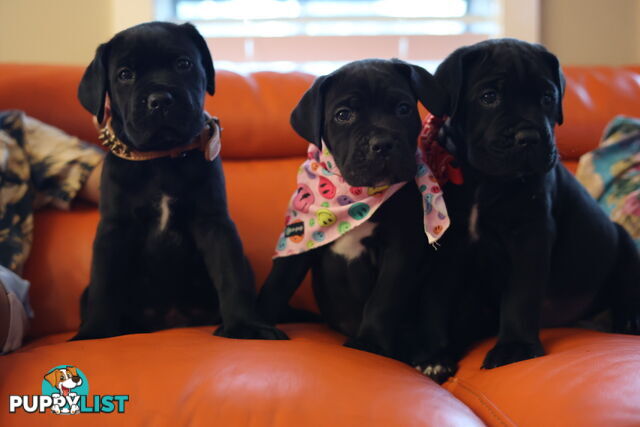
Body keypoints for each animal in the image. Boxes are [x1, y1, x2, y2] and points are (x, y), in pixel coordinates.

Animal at [70, 21, 284, 342]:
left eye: (183, 64)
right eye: (125, 74)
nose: (160, 101)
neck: (161, 158)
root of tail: (173, 321)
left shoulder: (214, 223)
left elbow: (231, 276)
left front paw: (243, 326)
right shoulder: (113, 228)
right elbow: (104, 285)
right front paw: (94, 334)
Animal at [258, 59, 448, 362]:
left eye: (403, 108)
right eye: (343, 115)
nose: (382, 144)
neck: (354, 197)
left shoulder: (400, 249)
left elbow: (383, 299)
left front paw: (368, 343)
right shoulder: (300, 243)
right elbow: (277, 284)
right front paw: (254, 326)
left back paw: (433, 361)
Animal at [416, 38, 640, 382]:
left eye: (548, 98)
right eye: (489, 97)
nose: (530, 137)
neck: (483, 180)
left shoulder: (530, 235)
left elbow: (521, 295)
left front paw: (515, 349)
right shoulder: (446, 247)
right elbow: (436, 300)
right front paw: (435, 355)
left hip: (625, 244)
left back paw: (628, 321)